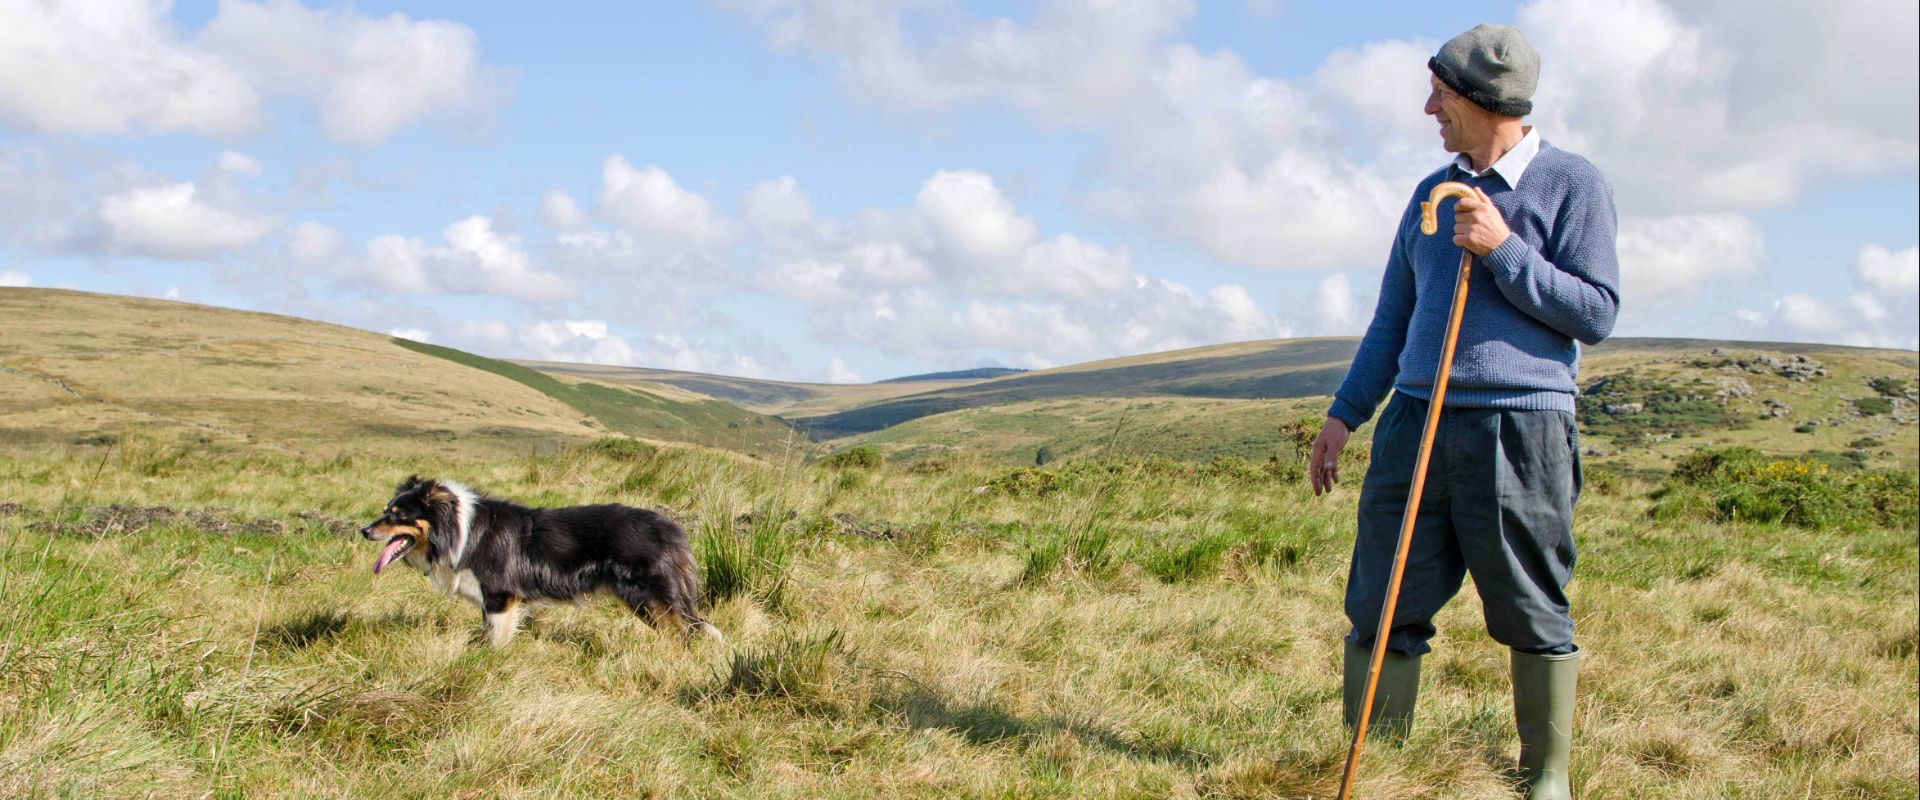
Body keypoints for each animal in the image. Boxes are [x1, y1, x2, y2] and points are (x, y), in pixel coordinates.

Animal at [360, 473, 721, 640]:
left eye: (397, 516)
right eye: (385, 511)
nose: (364, 530)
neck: (459, 530)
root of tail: (672, 529)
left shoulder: (500, 596)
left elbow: (495, 639)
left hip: (649, 598)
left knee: (683, 633)